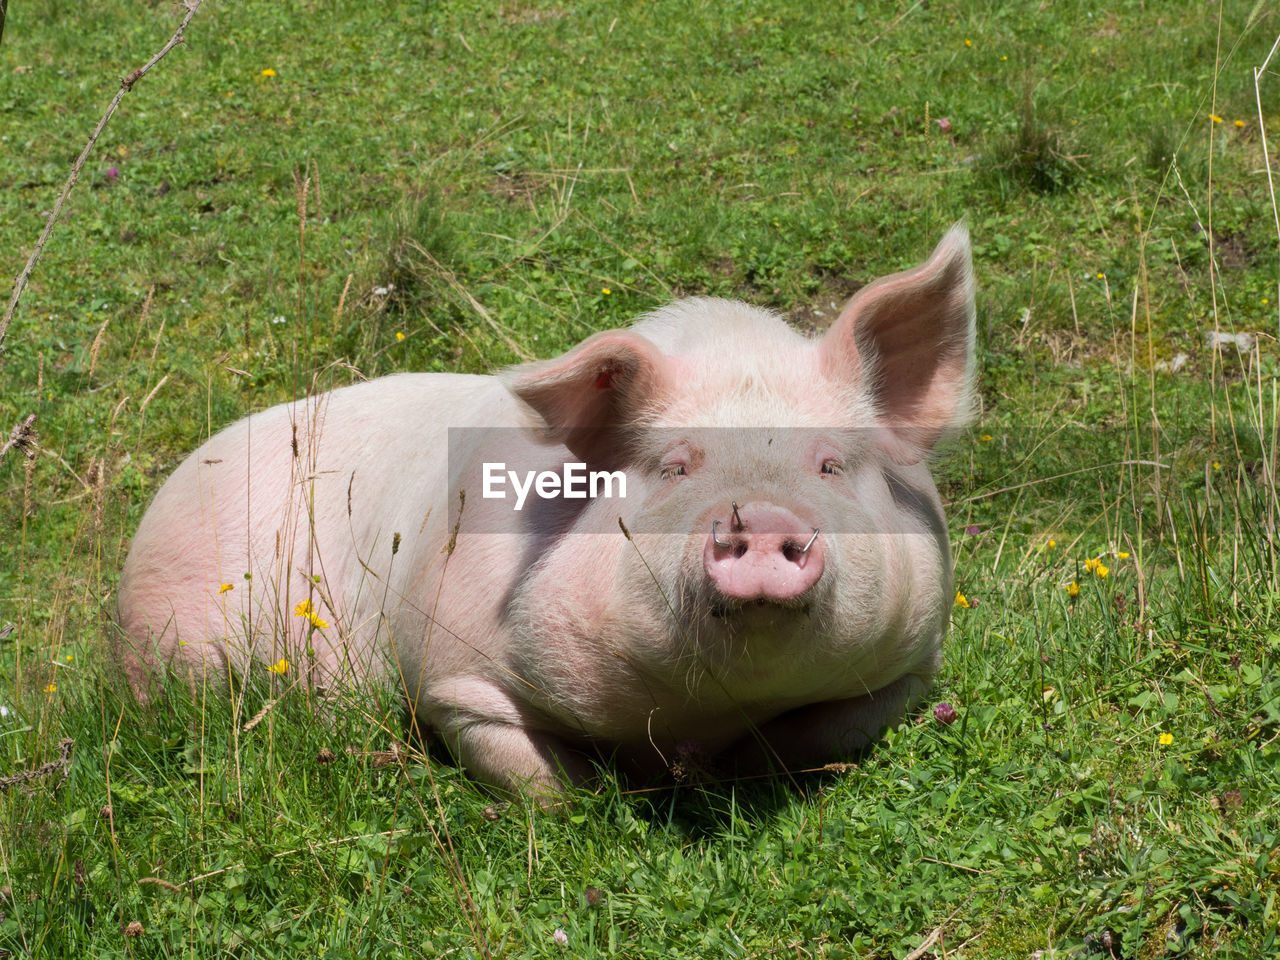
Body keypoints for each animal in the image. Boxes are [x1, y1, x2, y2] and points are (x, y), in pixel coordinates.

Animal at [117, 225, 977, 798]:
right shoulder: (455, 672)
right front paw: (612, 793)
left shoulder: (914, 658)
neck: (706, 713)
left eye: (830, 464)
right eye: (674, 466)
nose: (760, 517)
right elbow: (535, 774)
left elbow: (827, 733)